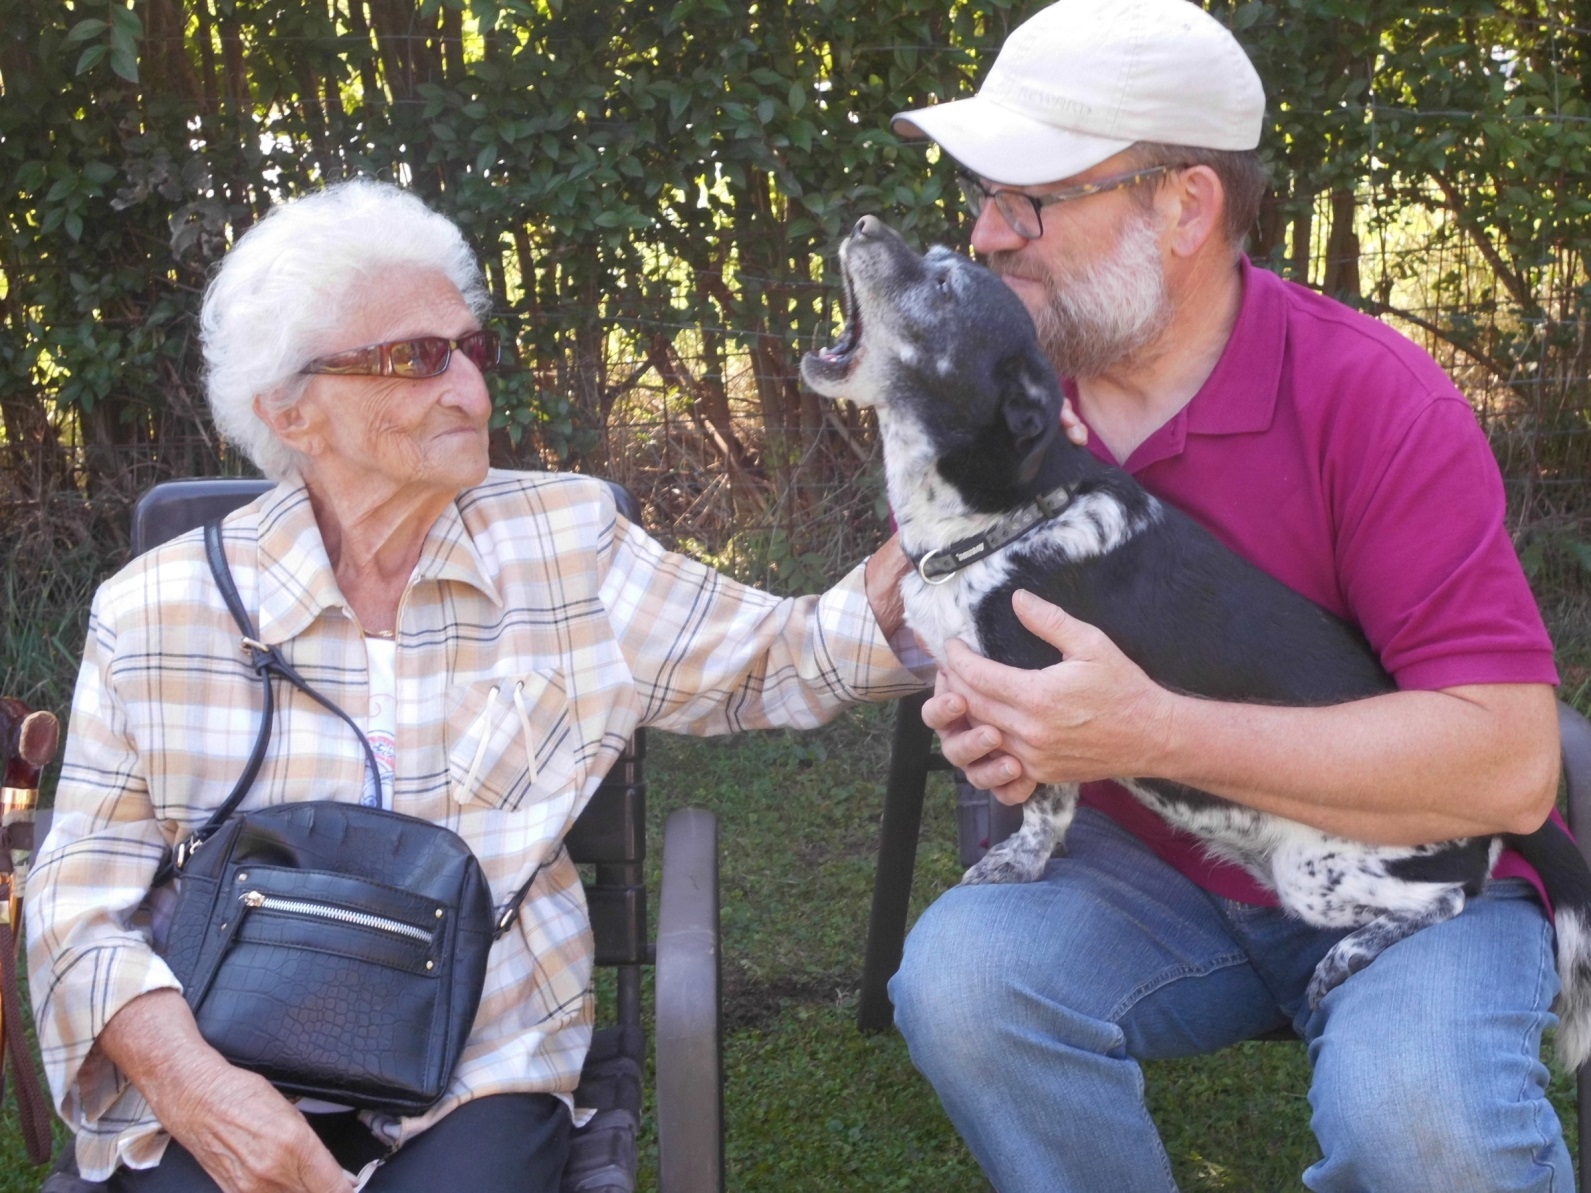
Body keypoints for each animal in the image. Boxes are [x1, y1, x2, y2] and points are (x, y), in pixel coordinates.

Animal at [801, 214, 1591, 1062]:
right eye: (939, 260)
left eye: (944, 285)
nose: (862, 222)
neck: (1002, 522)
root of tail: (1517, 821)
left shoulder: (1038, 705)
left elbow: (1045, 812)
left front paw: (1018, 860)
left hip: (1315, 870)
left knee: (1450, 898)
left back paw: (1350, 953)